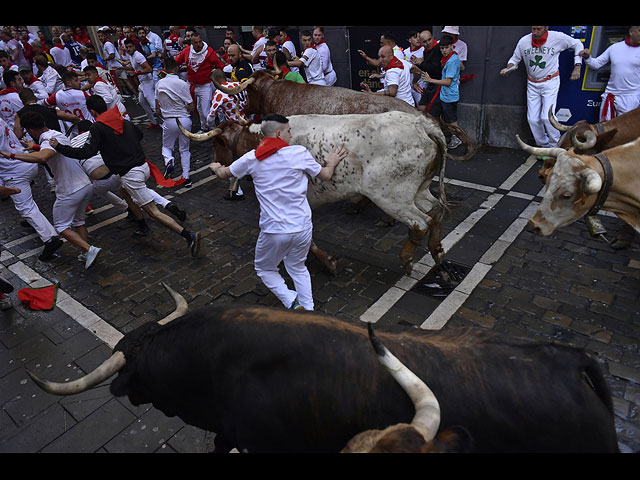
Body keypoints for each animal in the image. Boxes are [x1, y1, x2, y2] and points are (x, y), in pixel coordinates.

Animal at [180, 109, 450, 274]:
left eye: (217, 144)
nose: (214, 167)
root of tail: (420, 124)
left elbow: (307, 239)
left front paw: (329, 263)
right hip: (418, 190)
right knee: (436, 211)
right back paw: (437, 251)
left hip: (391, 196)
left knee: (420, 223)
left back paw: (407, 259)